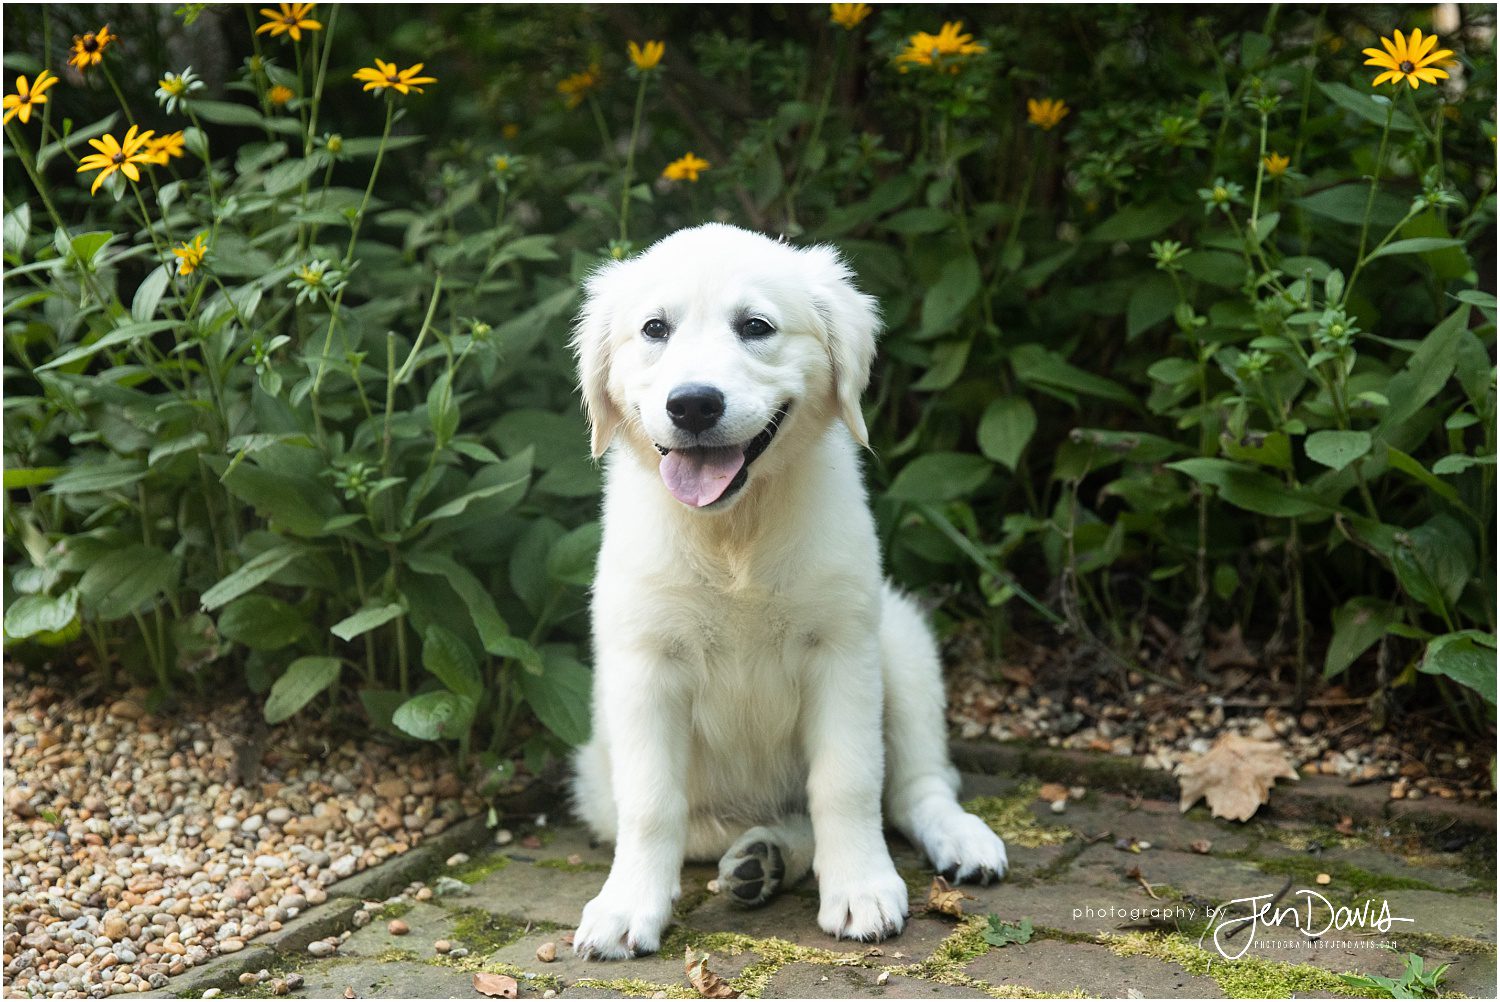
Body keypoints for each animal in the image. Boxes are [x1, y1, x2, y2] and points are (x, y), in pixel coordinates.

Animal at [567, 223, 1014, 960]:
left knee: (915, 786)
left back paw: (959, 839)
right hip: (601, 776)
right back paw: (762, 860)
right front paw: (626, 906)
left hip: (902, 644)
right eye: (655, 329)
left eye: (756, 326)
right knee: (727, 825)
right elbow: (652, 804)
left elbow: (847, 782)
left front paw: (861, 888)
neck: (735, 532)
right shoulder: (644, 665)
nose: (693, 403)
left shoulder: (842, 649)